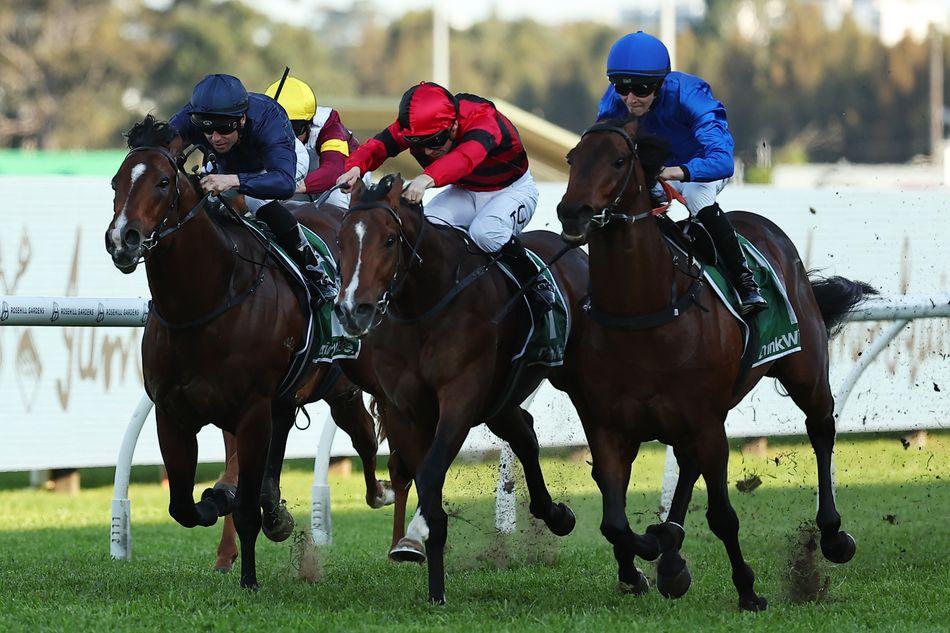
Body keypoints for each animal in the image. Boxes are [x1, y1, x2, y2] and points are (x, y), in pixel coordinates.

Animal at [108, 116, 394, 592]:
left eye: (164, 182)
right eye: (116, 181)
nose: (121, 240)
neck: (204, 303)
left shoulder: (252, 409)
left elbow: (243, 507)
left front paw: (248, 580)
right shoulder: (172, 412)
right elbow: (183, 506)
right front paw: (220, 499)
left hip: (339, 387)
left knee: (364, 436)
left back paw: (381, 494)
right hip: (289, 397)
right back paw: (276, 511)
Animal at [332, 174, 588, 604]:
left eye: (389, 240)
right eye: (341, 241)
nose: (354, 310)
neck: (426, 305)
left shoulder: (460, 398)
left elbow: (431, 472)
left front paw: (415, 536)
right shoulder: (404, 408)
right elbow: (421, 475)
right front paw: (428, 576)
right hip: (500, 401)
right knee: (525, 434)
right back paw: (556, 515)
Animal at [556, 116, 876, 608]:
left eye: (619, 159)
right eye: (573, 157)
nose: (572, 212)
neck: (645, 310)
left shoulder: (706, 423)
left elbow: (723, 516)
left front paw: (748, 590)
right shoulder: (610, 426)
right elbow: (615, 523)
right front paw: (659, 545)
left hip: (803, 372)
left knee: (822, 429)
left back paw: (833, 535)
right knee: (687, 466)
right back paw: (671, 560)